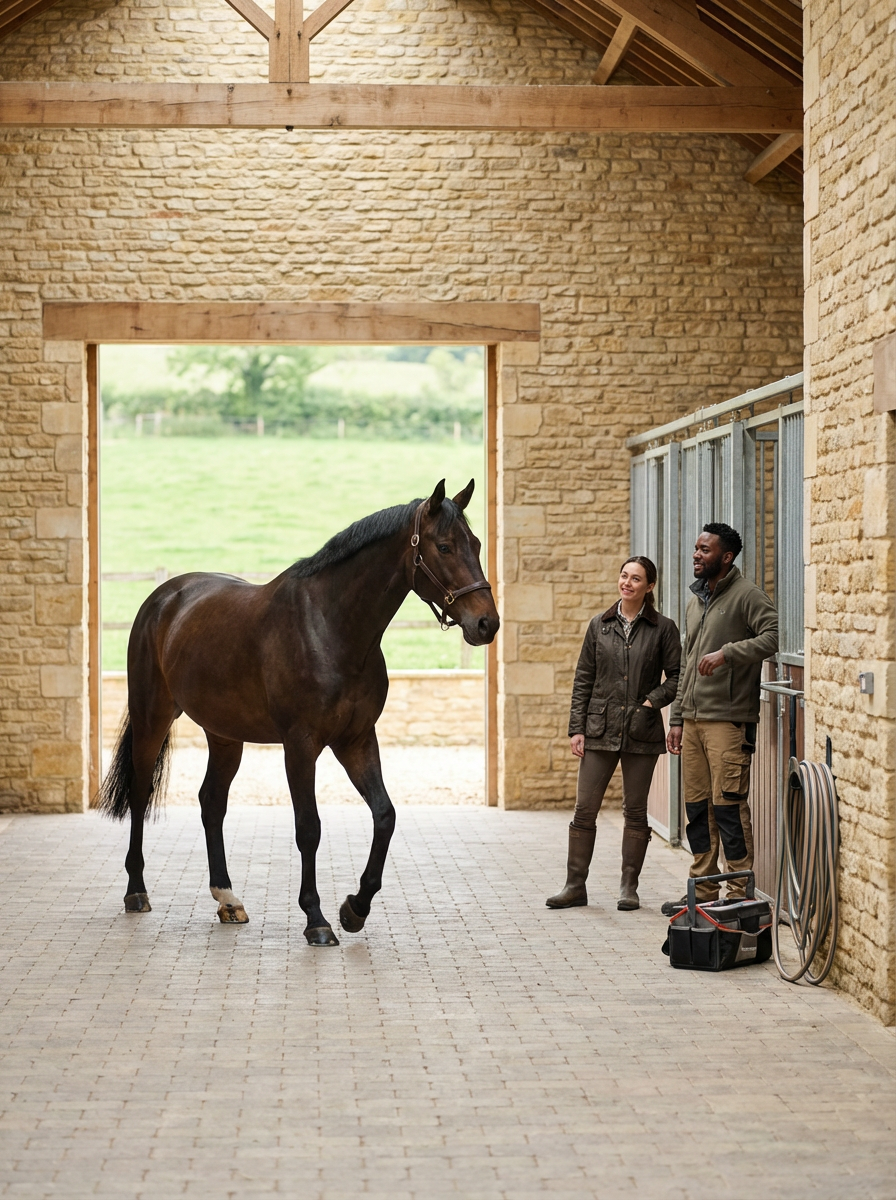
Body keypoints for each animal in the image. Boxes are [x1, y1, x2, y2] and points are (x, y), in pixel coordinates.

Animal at [98, 478, 499, 946]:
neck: (331, 627)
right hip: (152, 718)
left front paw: (355, 908)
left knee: (211, 802)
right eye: (445, 546)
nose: (487, 624)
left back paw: (228, 898)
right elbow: (309, 827)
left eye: (476, 543)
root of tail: (163, 598)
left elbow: (385, 816)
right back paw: (136, 891)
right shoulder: (301, 745)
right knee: (140, 794)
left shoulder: (356, 740)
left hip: (225, 735)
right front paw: (317, 919)